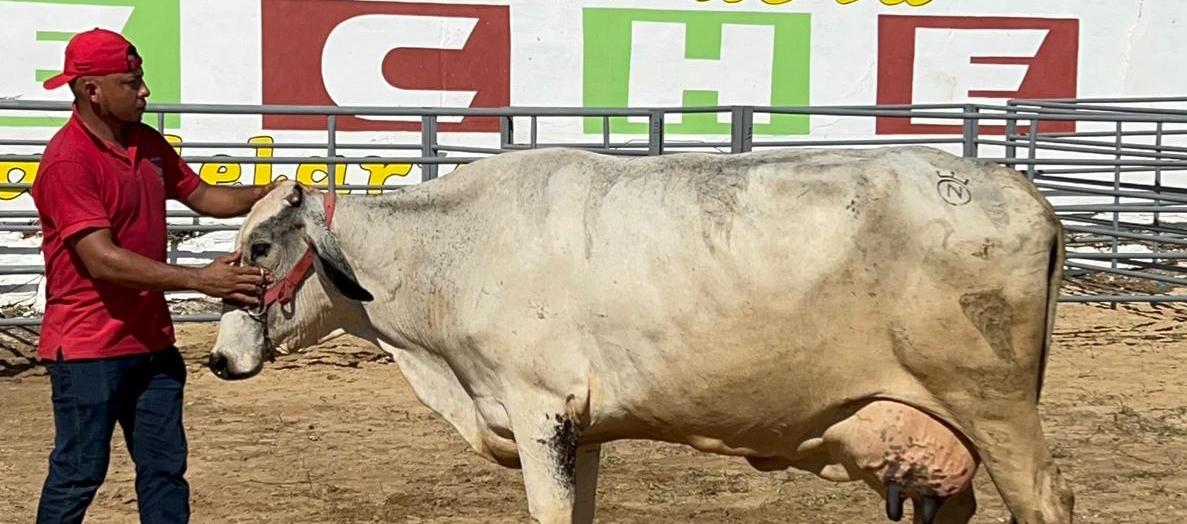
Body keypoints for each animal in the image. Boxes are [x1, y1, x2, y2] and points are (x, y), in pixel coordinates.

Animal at [207, 146, 1073, 524]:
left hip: (995, 407)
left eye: (260, 246)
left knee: (1043, 498)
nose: (217, 357)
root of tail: (1019, 190)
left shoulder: (537, 408)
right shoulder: (580, 428)